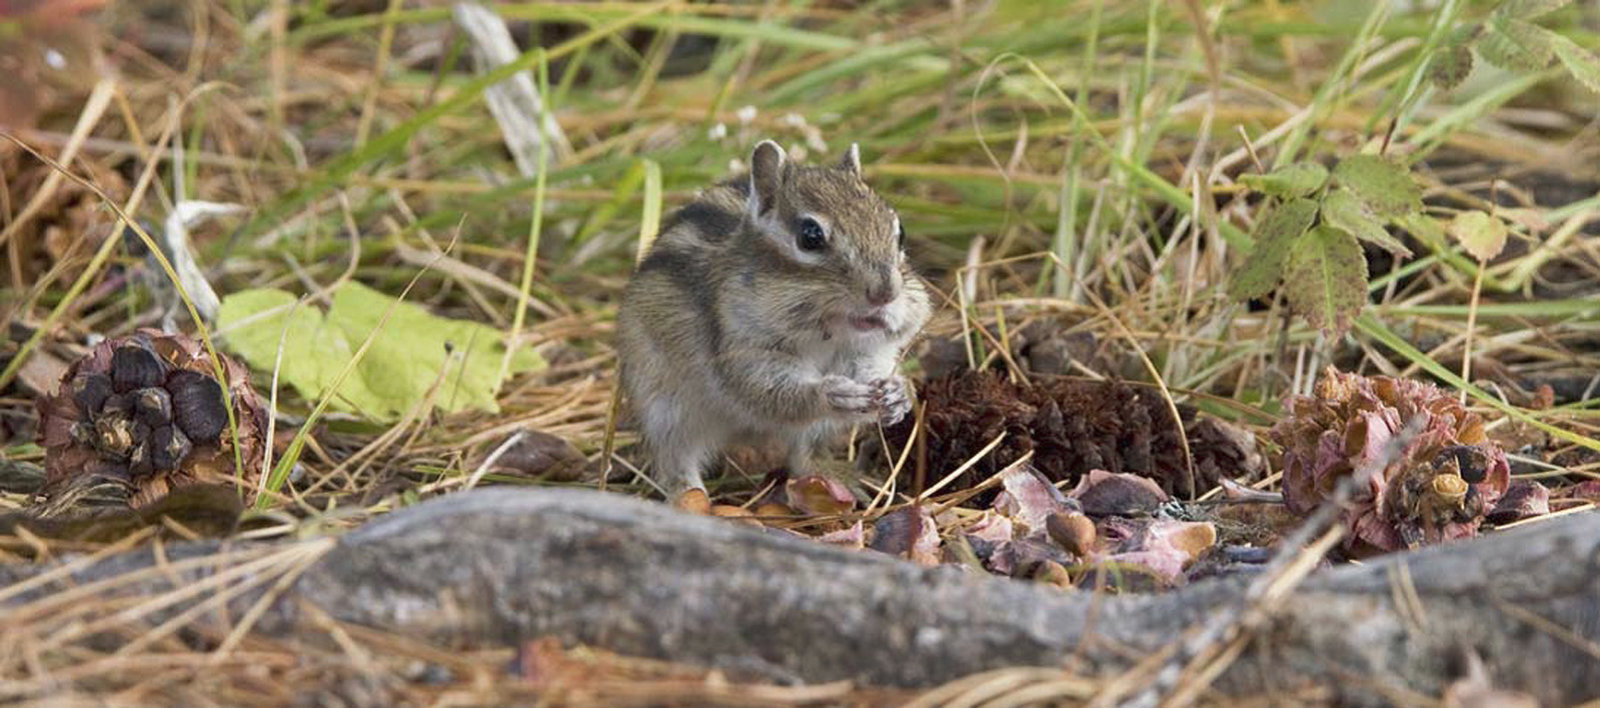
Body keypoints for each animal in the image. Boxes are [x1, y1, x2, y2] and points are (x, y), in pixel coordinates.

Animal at [616, 140, 933, 510]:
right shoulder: (740, 348)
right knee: (674, 462)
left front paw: (898, 392)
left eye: (901, 233)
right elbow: (763, 390)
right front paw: (832, 392)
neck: (826, 334)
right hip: (663, 410)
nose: (886, 293)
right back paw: (688, 499)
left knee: (803, 456)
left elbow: (872, 366)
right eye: (810, 236)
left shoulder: (868, 347)